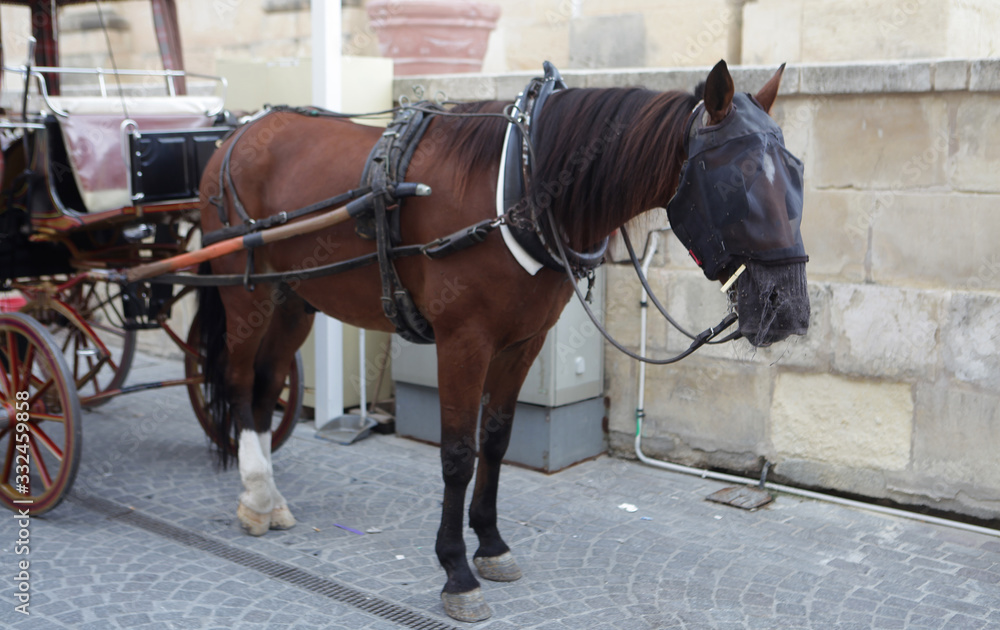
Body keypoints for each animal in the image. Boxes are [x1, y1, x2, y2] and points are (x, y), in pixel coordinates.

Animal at [195, 61, 812, 624]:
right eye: (736, 178)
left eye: (797, 170)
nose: (790, 308)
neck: (523, 184)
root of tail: (241, 132)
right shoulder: (462, 341)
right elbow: (457, 455)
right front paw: (455, 570)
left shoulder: (523, 341)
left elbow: (496, 440)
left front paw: (490, 545)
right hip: (246, 295)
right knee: (238, 381)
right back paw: (256, 493)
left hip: (293, 300)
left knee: (266, 387)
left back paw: (266, 496)